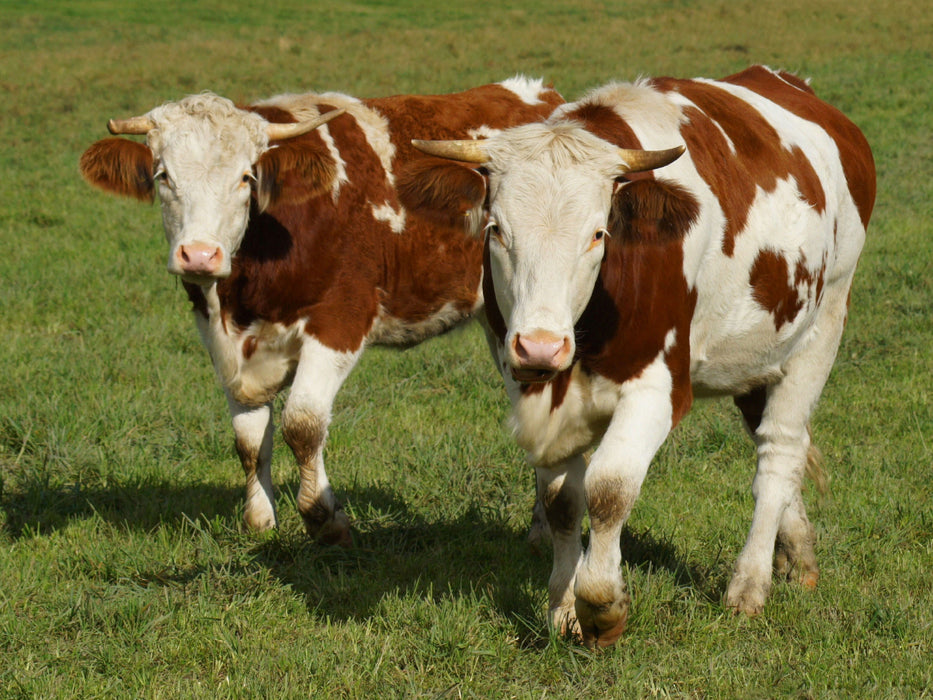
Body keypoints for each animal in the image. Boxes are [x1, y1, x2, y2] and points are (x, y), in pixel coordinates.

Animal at [80, 77, 564, 544]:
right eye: (163, 175)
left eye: (246, 177)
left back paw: (543, 528)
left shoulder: (340, 320)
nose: (199, 255)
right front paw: (260, 520)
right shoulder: (219, 339)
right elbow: (249, 439)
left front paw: (324, 518)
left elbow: (302, 424)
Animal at [413, 65, 875, 647]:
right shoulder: (529, 388)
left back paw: (749, 585)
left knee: (780, 448)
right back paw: (798, 553)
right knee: (774, 440)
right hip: (759, 353)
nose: (540, 345)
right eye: (495, 230)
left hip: (824, 323)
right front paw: (562, 608)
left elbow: (609, 489)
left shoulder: (658, 388)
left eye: (597, 233)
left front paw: (601, 607)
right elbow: (562, 501)